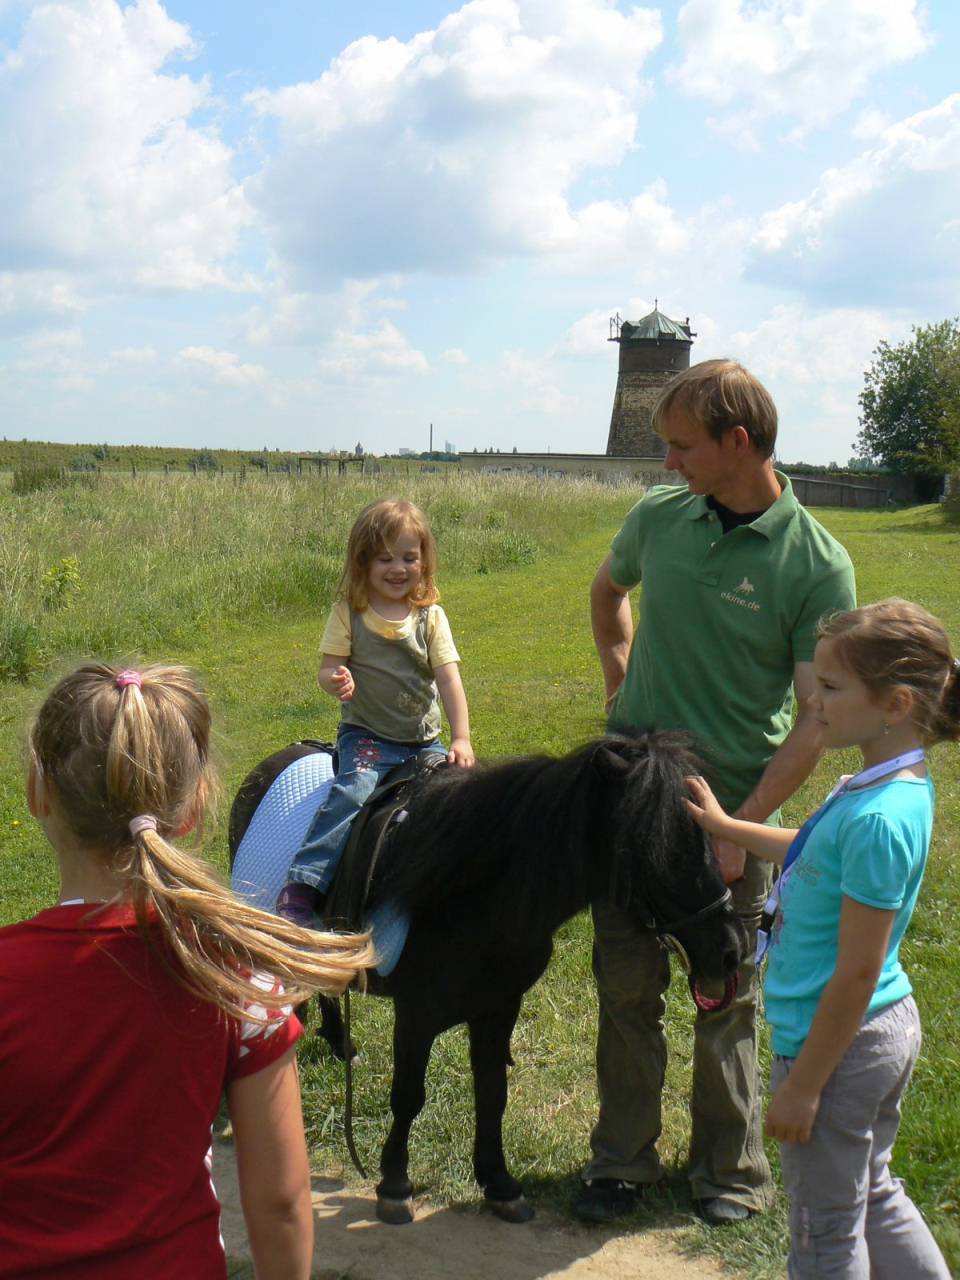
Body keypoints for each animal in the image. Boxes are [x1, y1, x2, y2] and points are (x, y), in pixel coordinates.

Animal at [231, 732, 742, 1218]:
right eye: (655, 845)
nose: (731, 950)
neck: (479, 893)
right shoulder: (415, 1015)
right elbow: (408, 1096)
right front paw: (395, 1183)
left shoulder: (498, 1009)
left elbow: (493, 1093)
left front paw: (498, 1181)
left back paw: (337, 1041)